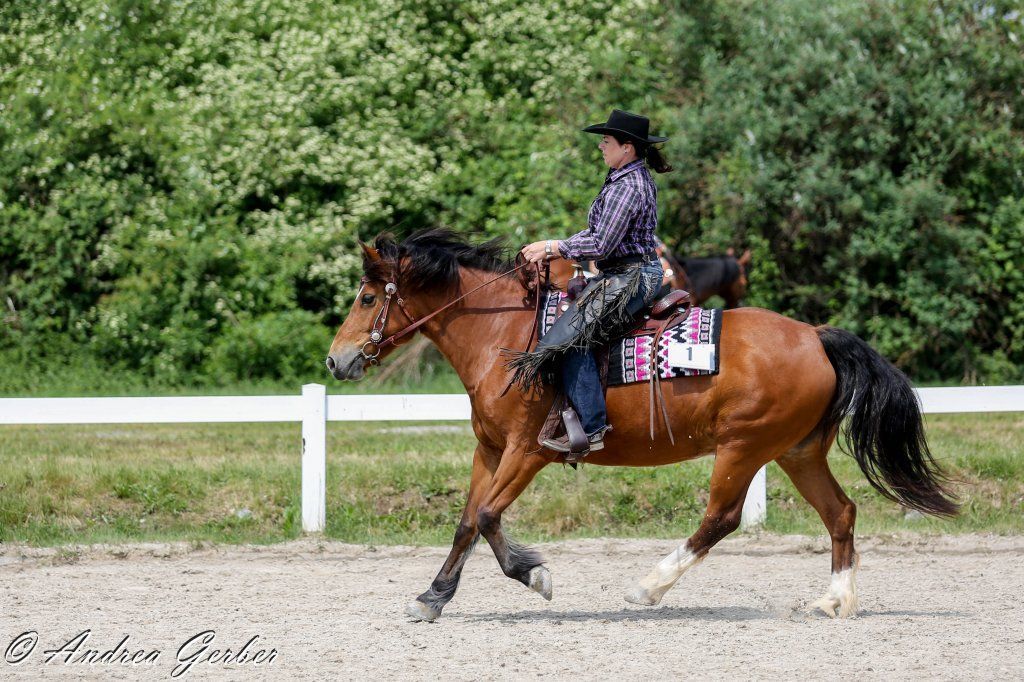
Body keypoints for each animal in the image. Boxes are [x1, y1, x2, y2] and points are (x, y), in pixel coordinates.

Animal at [325, 229, 956, 622]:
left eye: (365, 298)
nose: (336, 361)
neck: (504, 339)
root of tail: (815, 336)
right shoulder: (490, 451)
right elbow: (466, 523)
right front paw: (433, 597)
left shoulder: (529, 451)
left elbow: (485, 517)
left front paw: (533, 575)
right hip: (797, 452)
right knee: (840, 513)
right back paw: (835, 601)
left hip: (744, 447)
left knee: (721, 519)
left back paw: (647, 587)